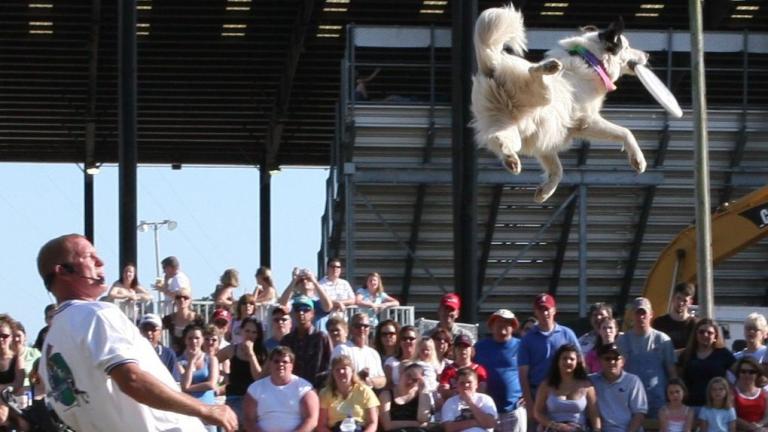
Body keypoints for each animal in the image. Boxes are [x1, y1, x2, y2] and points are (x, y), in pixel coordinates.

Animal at [474, 4, 648, 202]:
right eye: (627, 46)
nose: (647, 54)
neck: (592, 60)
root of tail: (493, 64)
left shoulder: (544, 137)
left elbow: (557, 169)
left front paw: (545, 191)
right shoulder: (587, 122)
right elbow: (625, 132)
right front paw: (638, 160)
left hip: (507, 124)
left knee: (497, 138)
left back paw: (511, 160)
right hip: (543, 95)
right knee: (533, 72)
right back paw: (548, 67)